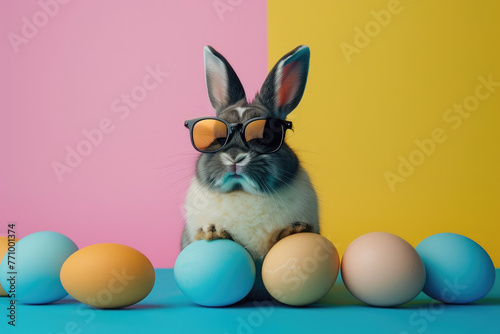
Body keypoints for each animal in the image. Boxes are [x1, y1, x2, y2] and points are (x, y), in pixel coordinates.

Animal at [182, 44, 318, 298]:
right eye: (216, 137)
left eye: (266, 136)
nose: (235, 157)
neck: (243, 192)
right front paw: (212, 232)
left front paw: (294, 231)